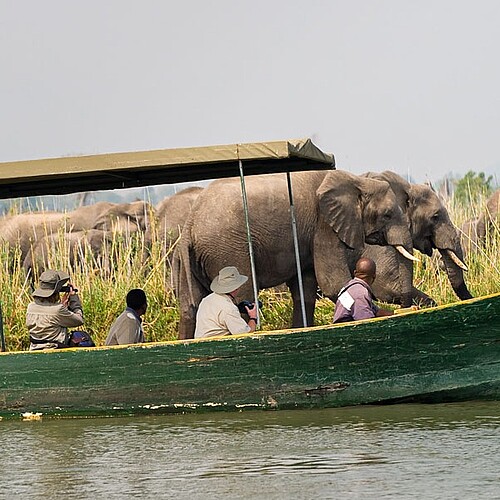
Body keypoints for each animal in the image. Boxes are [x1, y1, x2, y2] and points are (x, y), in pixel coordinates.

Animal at [174, 169, 416, 340]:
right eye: (387, 214)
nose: (406, 307)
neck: (356, 180)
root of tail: (189, 226)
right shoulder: (323, 224)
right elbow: (333, 283)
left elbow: (305, 288)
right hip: (228, 251)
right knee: (241, 296)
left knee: (189, 307)